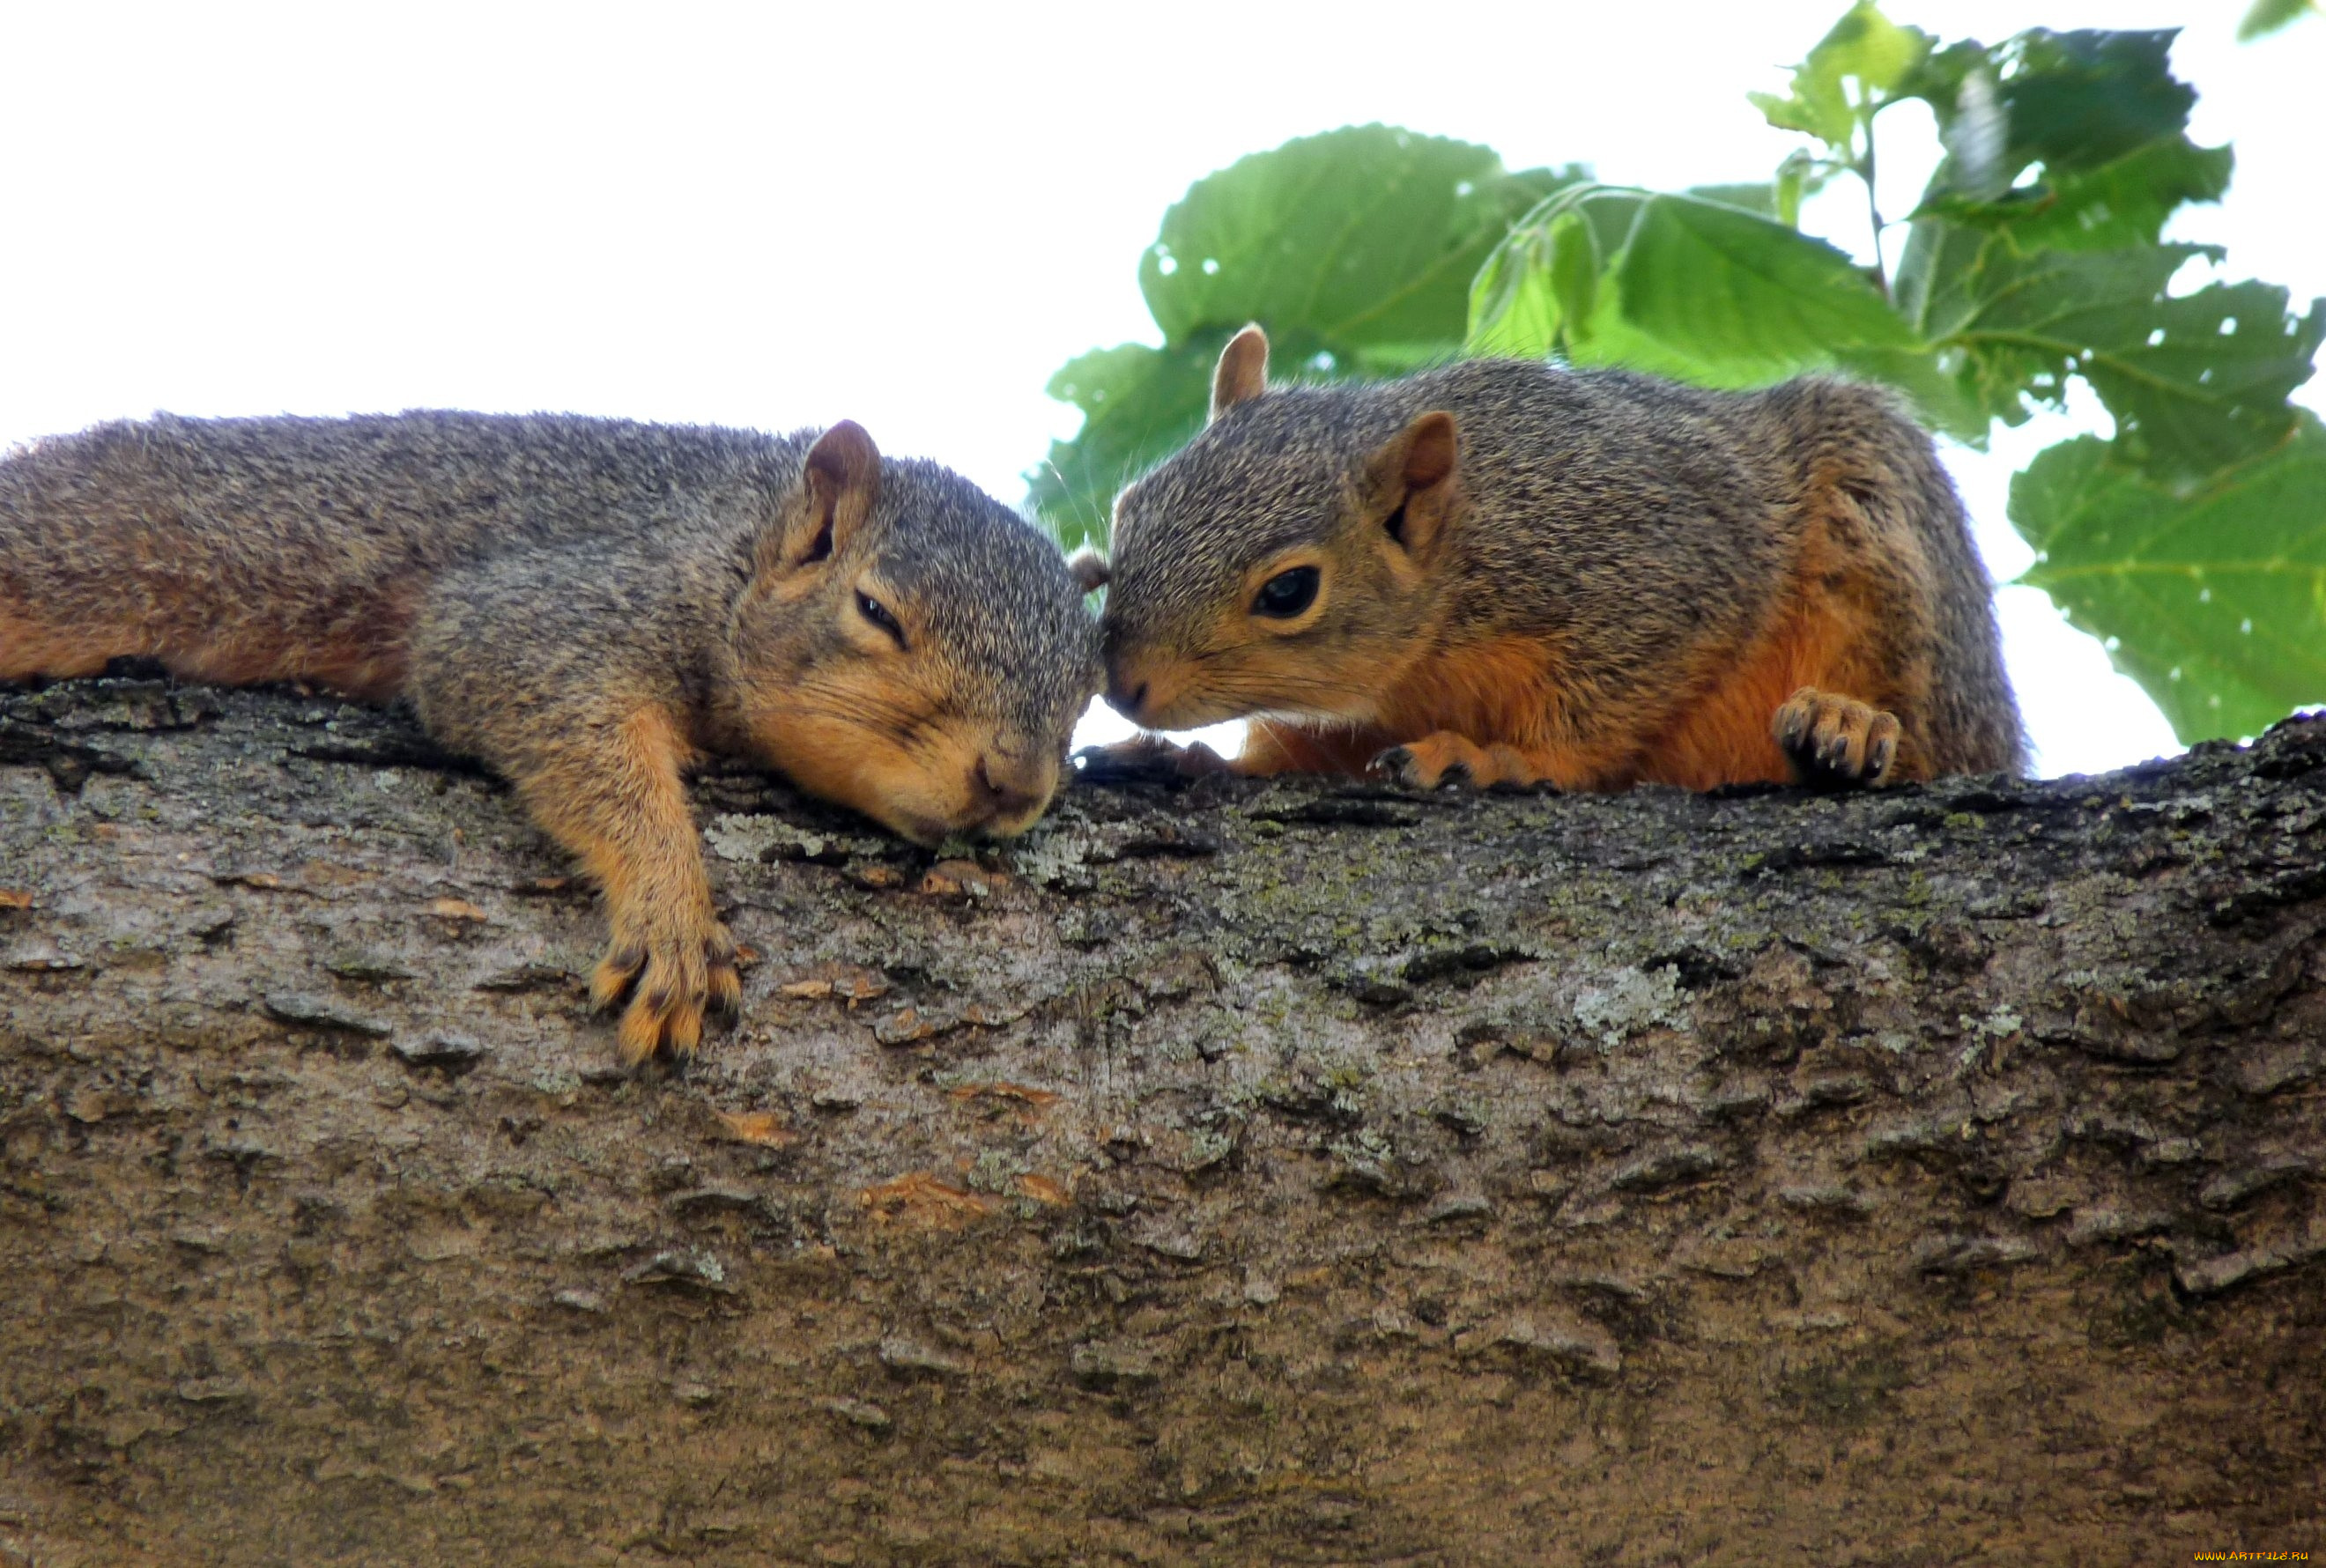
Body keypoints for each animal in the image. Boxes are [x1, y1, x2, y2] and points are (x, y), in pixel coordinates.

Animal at [0, 409, 1098, 1055]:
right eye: (874, 611)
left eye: (1088, 684)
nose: (1014, 782)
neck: (726, 540)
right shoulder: (542, 606)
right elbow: (575, 726)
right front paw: (671, 915)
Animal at [1078, 330, 2028, 795]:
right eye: (1132, 509)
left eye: (1288, 590)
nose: (1124, 685)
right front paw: (1194, 760)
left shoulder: (1656, 569)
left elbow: (1603, 710)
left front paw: (1504, 761)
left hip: (1887, 541)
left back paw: (1849, 722)